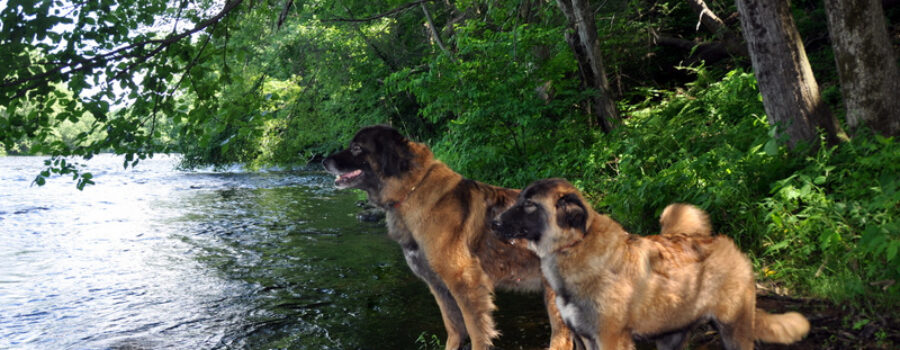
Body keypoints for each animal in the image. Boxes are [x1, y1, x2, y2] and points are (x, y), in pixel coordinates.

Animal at [326, 126, 572, 350]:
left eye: (356, 148)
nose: (324, 161)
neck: (412, 190)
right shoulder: (438, 285)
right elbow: (453, 328)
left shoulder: (464, 281)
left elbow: (475, 331)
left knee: (562, 340)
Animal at [488, 179, 812, 348]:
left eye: (529, 205)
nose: (494, 223)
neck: (575, 247)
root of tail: (728, 245)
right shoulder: (587, 338)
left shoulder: (610, 338)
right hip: (671, 336)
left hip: (734, 329)